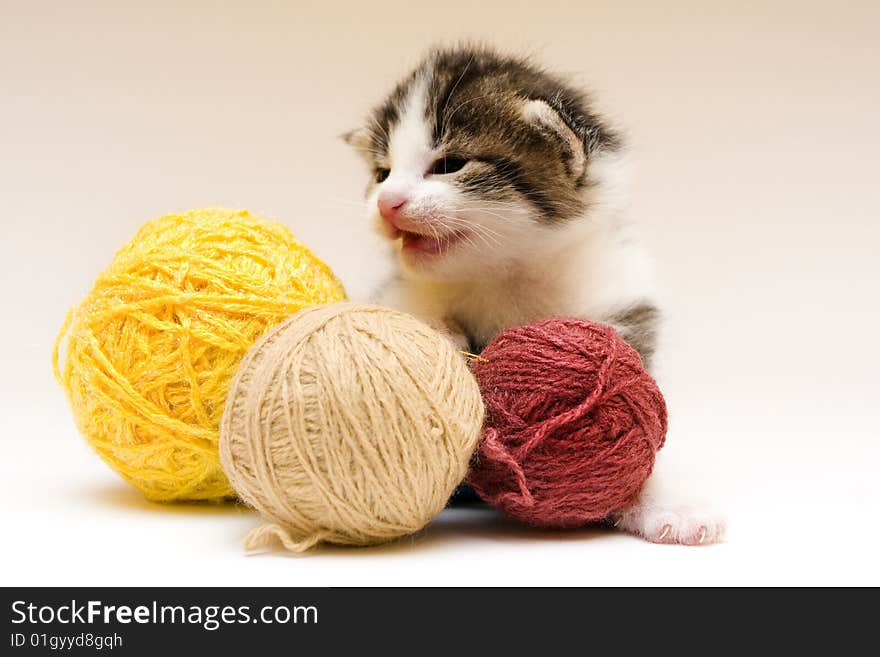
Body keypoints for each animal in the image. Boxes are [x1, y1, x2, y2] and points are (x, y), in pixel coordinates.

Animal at [344, 46, 720, 544]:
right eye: (382, 174)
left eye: (449, 164)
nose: (387, 204)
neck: (505, 273)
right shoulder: (402, 286)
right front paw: (441, 336)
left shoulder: (618, 313)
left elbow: (643, 424)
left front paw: (670, 504)